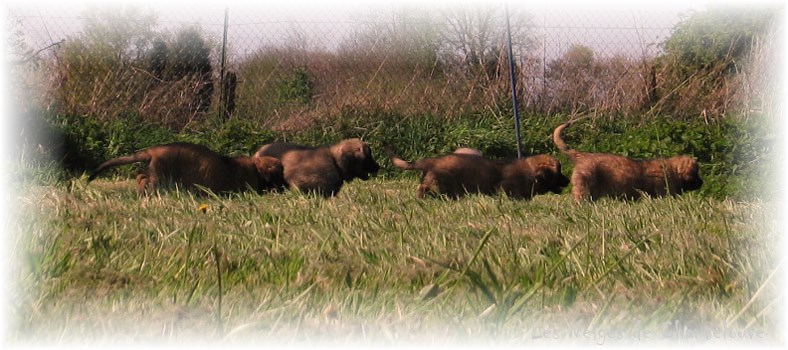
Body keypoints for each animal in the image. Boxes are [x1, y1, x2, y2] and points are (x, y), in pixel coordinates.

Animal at [87, 143, 284, 197]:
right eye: (280, 174)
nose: (285, 188)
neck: (254, 167)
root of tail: (153, 150)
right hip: (161, 179)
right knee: (147, 182)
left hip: (154, 173)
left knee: (141, 177)